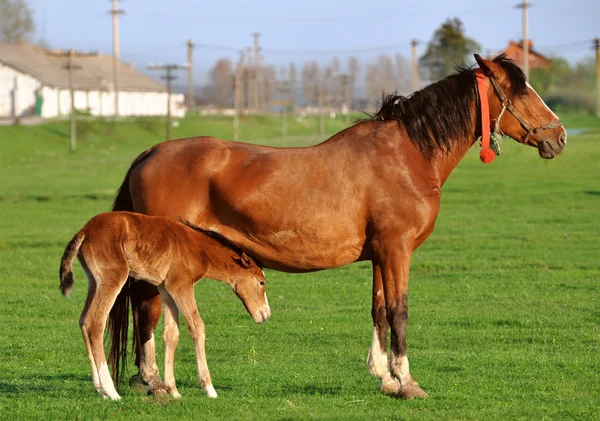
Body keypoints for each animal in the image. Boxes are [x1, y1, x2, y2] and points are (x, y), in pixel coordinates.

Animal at [58, 212, 270, 398]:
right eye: (261, 282)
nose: (265, 314)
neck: (198, 248)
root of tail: (84, 231)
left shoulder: (166, 289)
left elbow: (171, 334)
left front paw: (173, 391)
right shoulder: (181, 286)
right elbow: (197, 326)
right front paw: (209, 388)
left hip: (94, 282)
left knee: (83, 321)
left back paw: (99, 389)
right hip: (114, 277)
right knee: (95, 322)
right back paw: (111, 392)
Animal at [106, 54, 564, 398]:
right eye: (522, 91)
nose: (558, 137)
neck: (407, 155)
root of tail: (152, 152)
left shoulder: (381, 254)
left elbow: (379, 309)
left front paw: (385, 378)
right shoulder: (397, 250)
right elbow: (399, 312)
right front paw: (407, 381)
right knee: (146, 310)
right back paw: (152, 381)